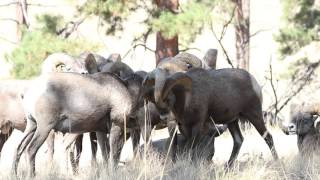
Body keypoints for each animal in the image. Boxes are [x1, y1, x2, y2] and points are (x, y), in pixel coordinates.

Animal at [144, 67, 278, 167]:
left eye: (168, 97)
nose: (163, 115)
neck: (187, 99)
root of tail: (254, 83)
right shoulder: (183, 127)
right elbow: (182, 148)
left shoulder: (197, 125)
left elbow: (191, 148)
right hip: (232, 122)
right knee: (238, 140)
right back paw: (227, 167)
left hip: (254, 116)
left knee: (268, 137)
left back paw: (277, 161)